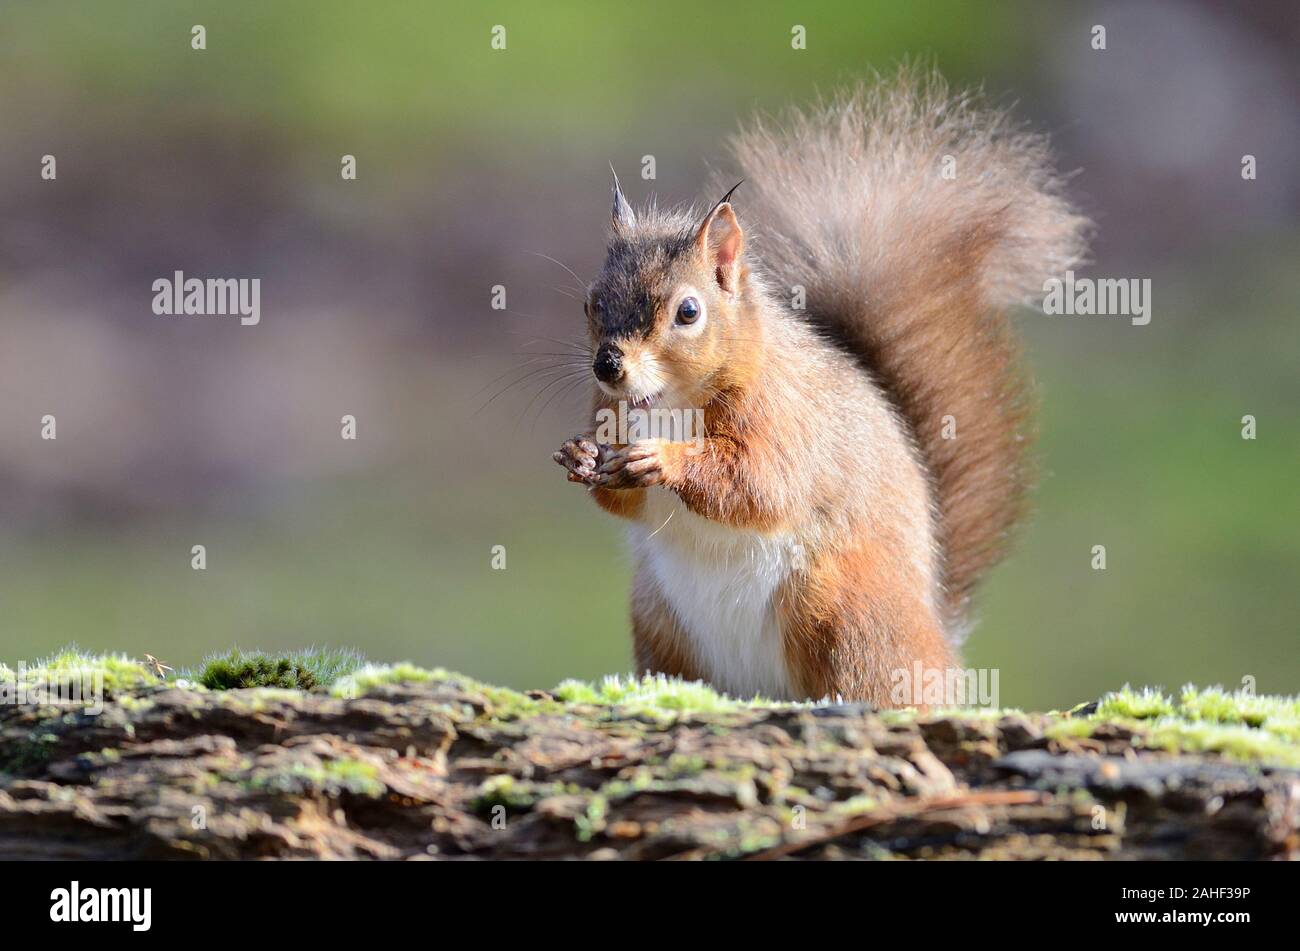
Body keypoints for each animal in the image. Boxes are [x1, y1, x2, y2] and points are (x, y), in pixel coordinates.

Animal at [548, 66, 1086, 701]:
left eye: (688, 312)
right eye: (590, 303)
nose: (608, 365)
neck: (666, 403)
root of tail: (940, 644)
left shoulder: (785, 419)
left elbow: (762, 485)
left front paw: (664, 458)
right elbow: (622, 500)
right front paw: (580, 455)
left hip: (837, 604)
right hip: (658, 617)